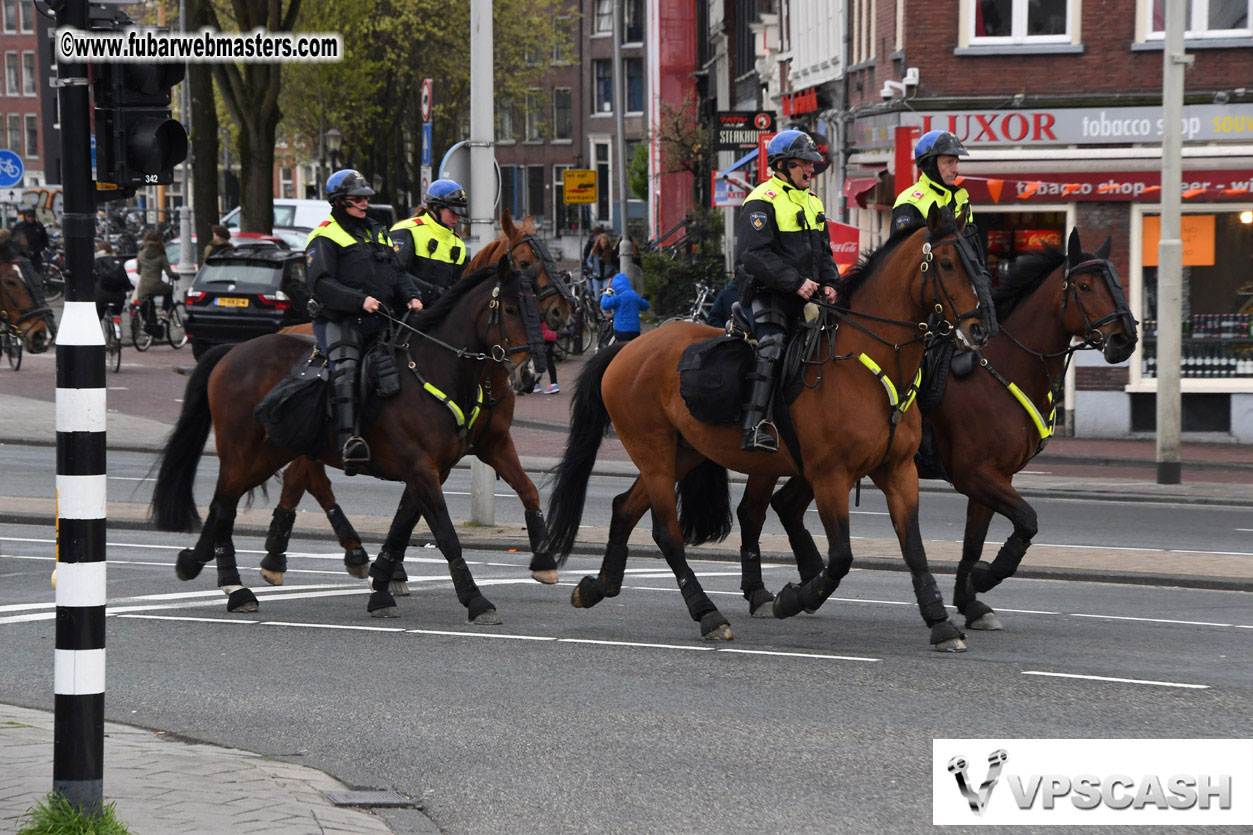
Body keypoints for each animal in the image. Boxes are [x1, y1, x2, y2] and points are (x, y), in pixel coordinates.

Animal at [156, 257, 563, 621]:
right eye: (509, 308)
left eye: (537, 310)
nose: (530, 372)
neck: (433, 369)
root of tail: (233, 350)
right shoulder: (421, 467)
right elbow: (445, 533)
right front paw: (476, 600)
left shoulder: (447, 463)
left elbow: (405, 525)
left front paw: (381, 588)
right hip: (244, 451)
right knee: (226, 502)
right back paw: (227, 581)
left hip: (273, 451)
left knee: (236, 498)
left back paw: (227, 574)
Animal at [259, 211, 573, 589]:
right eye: (525, 262)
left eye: (551, 259)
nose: (563, 312)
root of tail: (288, 330)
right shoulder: (431, 457)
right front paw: (393, 570)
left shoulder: (487, 445)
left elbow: (526, 490)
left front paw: (543, 558)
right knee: (299, 479)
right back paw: (282, 557)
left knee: (307, 479)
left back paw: (344, 553)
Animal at [543, 204, 992, 646]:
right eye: (948, 264)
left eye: (980, 260)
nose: (982, 328)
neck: (866, 365)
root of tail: (627, 349)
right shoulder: (830, 476)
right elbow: (841, 558)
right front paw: (794, 599)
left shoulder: (898, 472)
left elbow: (913, 548)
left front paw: (940, 621)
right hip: (653, 454)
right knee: (667, 533)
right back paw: (707, 613)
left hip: (682, 452)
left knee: (624, 508)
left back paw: (598, 586)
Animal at [746, 228, 1142, 624]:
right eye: (1085, 285)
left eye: (1118, 281)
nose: (1125, 339)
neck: (1002, 366)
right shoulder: (974, 473)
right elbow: (1027, 520)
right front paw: (983, 578)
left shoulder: (996, 476)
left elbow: (975, 541)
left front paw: (970, 600)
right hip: (790, 465)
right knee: (755, 511)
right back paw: (768, 592)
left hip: (815, 467)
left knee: (784, 506)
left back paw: (800, 586)